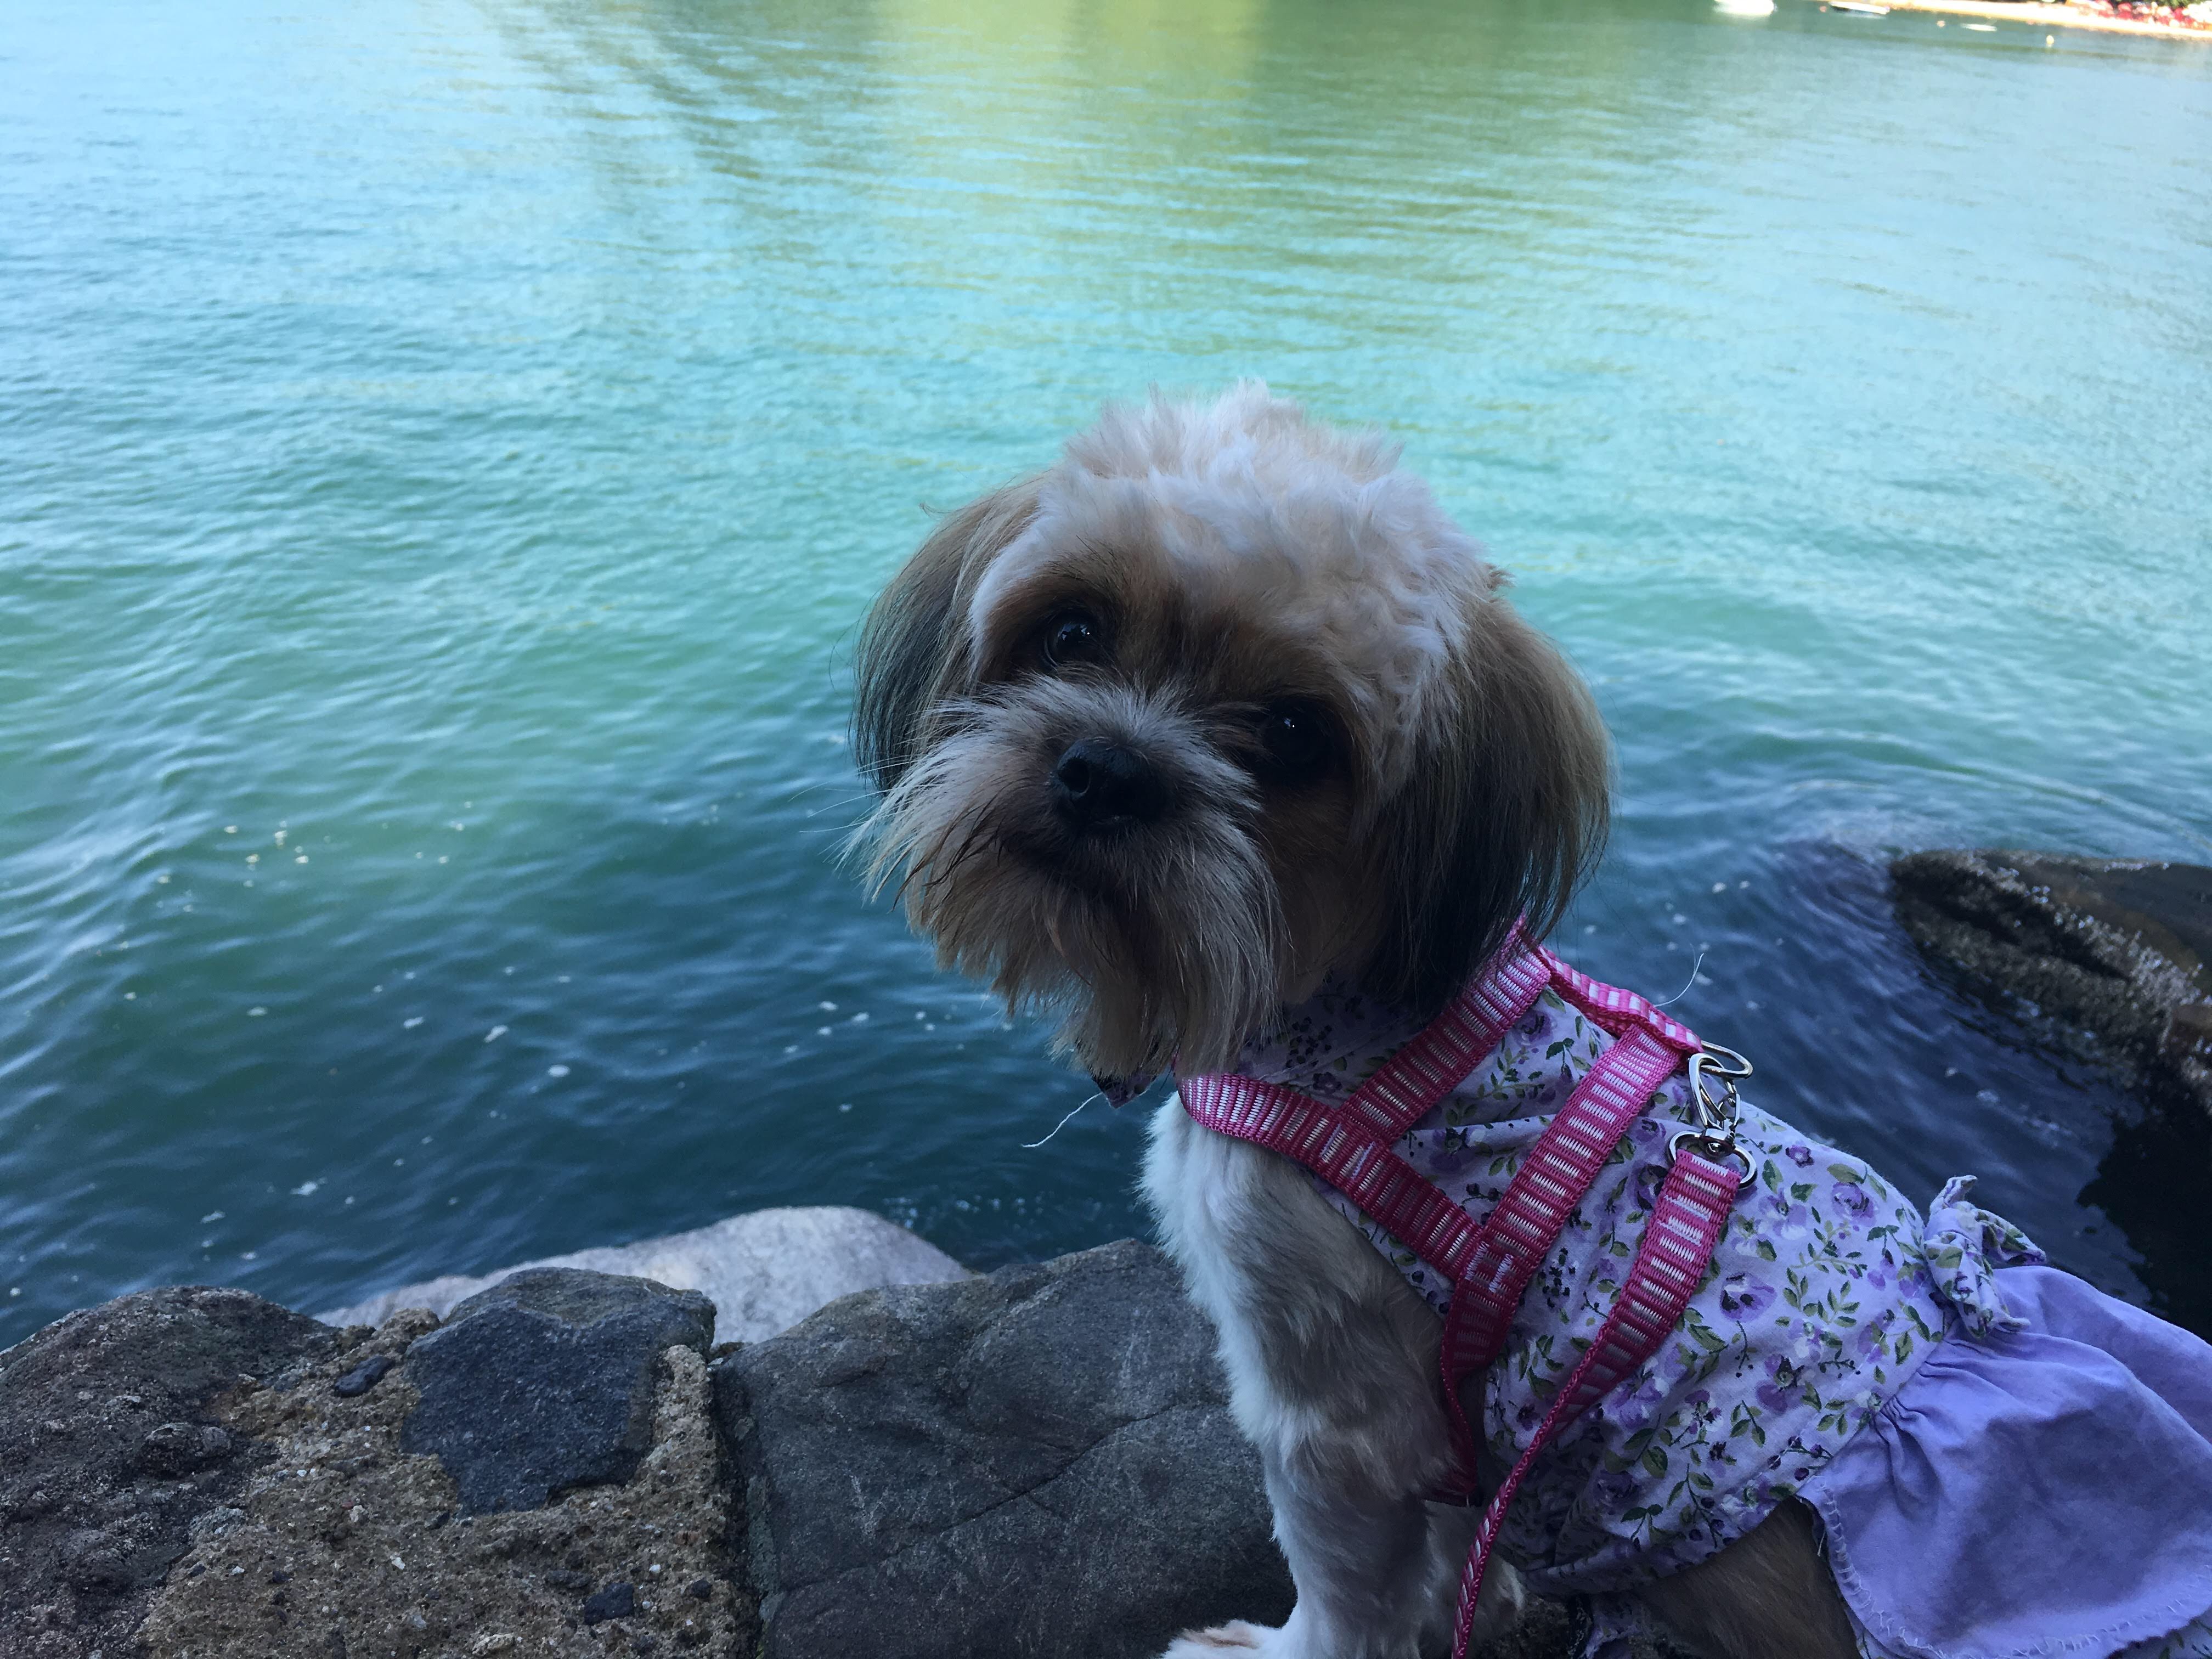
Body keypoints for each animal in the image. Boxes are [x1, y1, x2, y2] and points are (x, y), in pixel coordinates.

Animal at [851, 385, 2212, 1659]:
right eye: (1070, 629)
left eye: (1294, 734)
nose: (1108, 770)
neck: (1338, 1005)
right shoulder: (1457, 1420)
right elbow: (1458, 1538)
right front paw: (1486, 1594)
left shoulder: (1326, 1410)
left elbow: (1341, 1591)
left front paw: (1281, 1646)